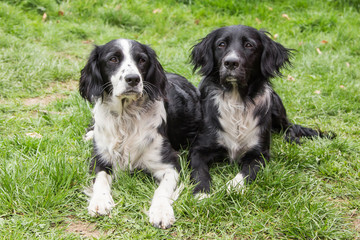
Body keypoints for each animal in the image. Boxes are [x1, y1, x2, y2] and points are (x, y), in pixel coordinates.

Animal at [79, 39, 201, 229]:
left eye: (142, 60)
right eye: (113, 59)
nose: (133, 79)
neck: (126, 117)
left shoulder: (170, 164)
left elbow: (162, 190)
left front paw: (161, 211)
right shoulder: (99, 159)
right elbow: (100, 180)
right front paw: (99, 201)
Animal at [188, 24, 332, 197]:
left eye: (249, 45)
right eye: (221, 44)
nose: (230, 63)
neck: (237, 101)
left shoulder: (260, 154)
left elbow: (246, 172)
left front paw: (232, 187)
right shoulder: (197, 150)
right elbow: (199, 172)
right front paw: (202, 193)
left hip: (276, 107)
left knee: (290, 126)